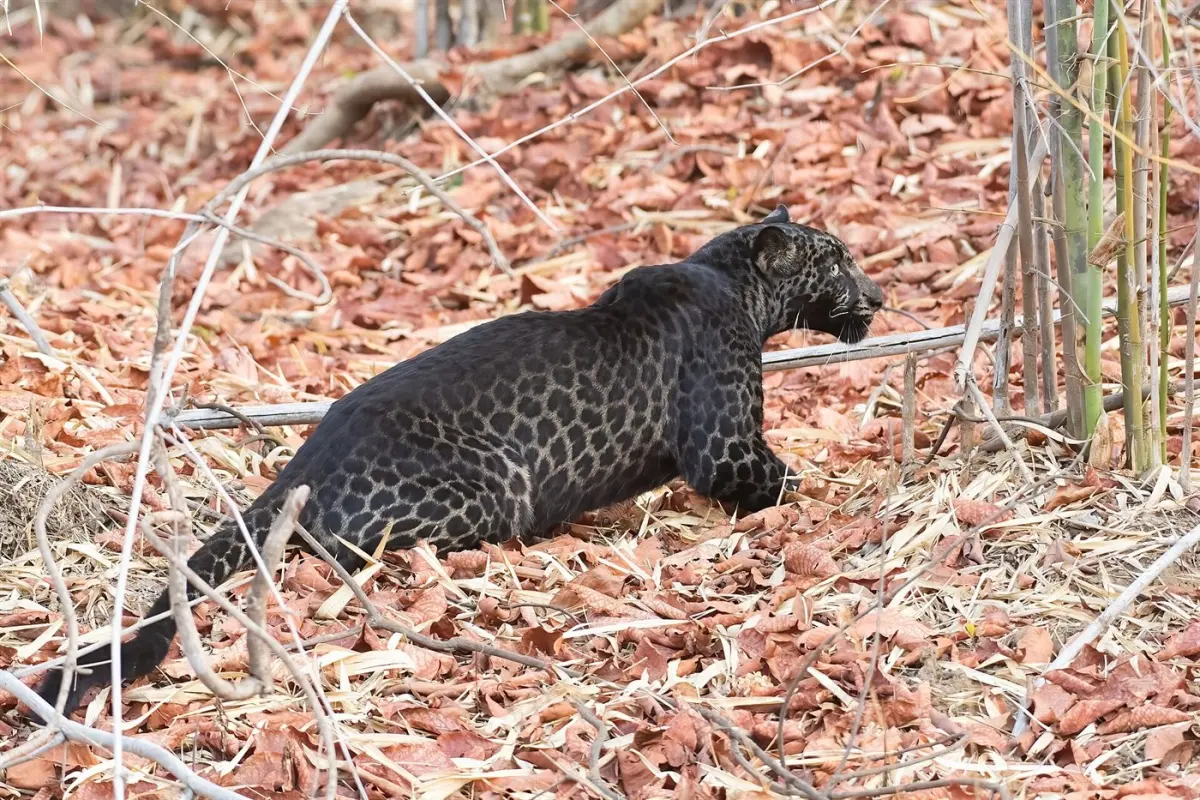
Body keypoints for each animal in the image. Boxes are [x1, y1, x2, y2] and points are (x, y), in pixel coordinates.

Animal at [33, 204, 884, 716]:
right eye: (836, 261)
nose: (877, 295)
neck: (735, 284)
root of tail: (301, 464)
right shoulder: (726, 447)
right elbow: (786, 481)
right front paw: (842, 497)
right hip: (490, 489)